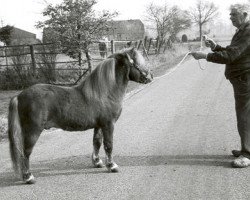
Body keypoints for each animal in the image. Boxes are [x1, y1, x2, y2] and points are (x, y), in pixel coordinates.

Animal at [7, 47, 152, 184]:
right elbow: (108, 145)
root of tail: (19, 96)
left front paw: (97, 162)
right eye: (137, 63)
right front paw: (112, 166)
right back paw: (28, 177)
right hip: (33, 132)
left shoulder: (99, 125)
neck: (105, 93)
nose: (150, 76)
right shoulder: (108, 124)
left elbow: (97, 142)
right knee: (25, 153)